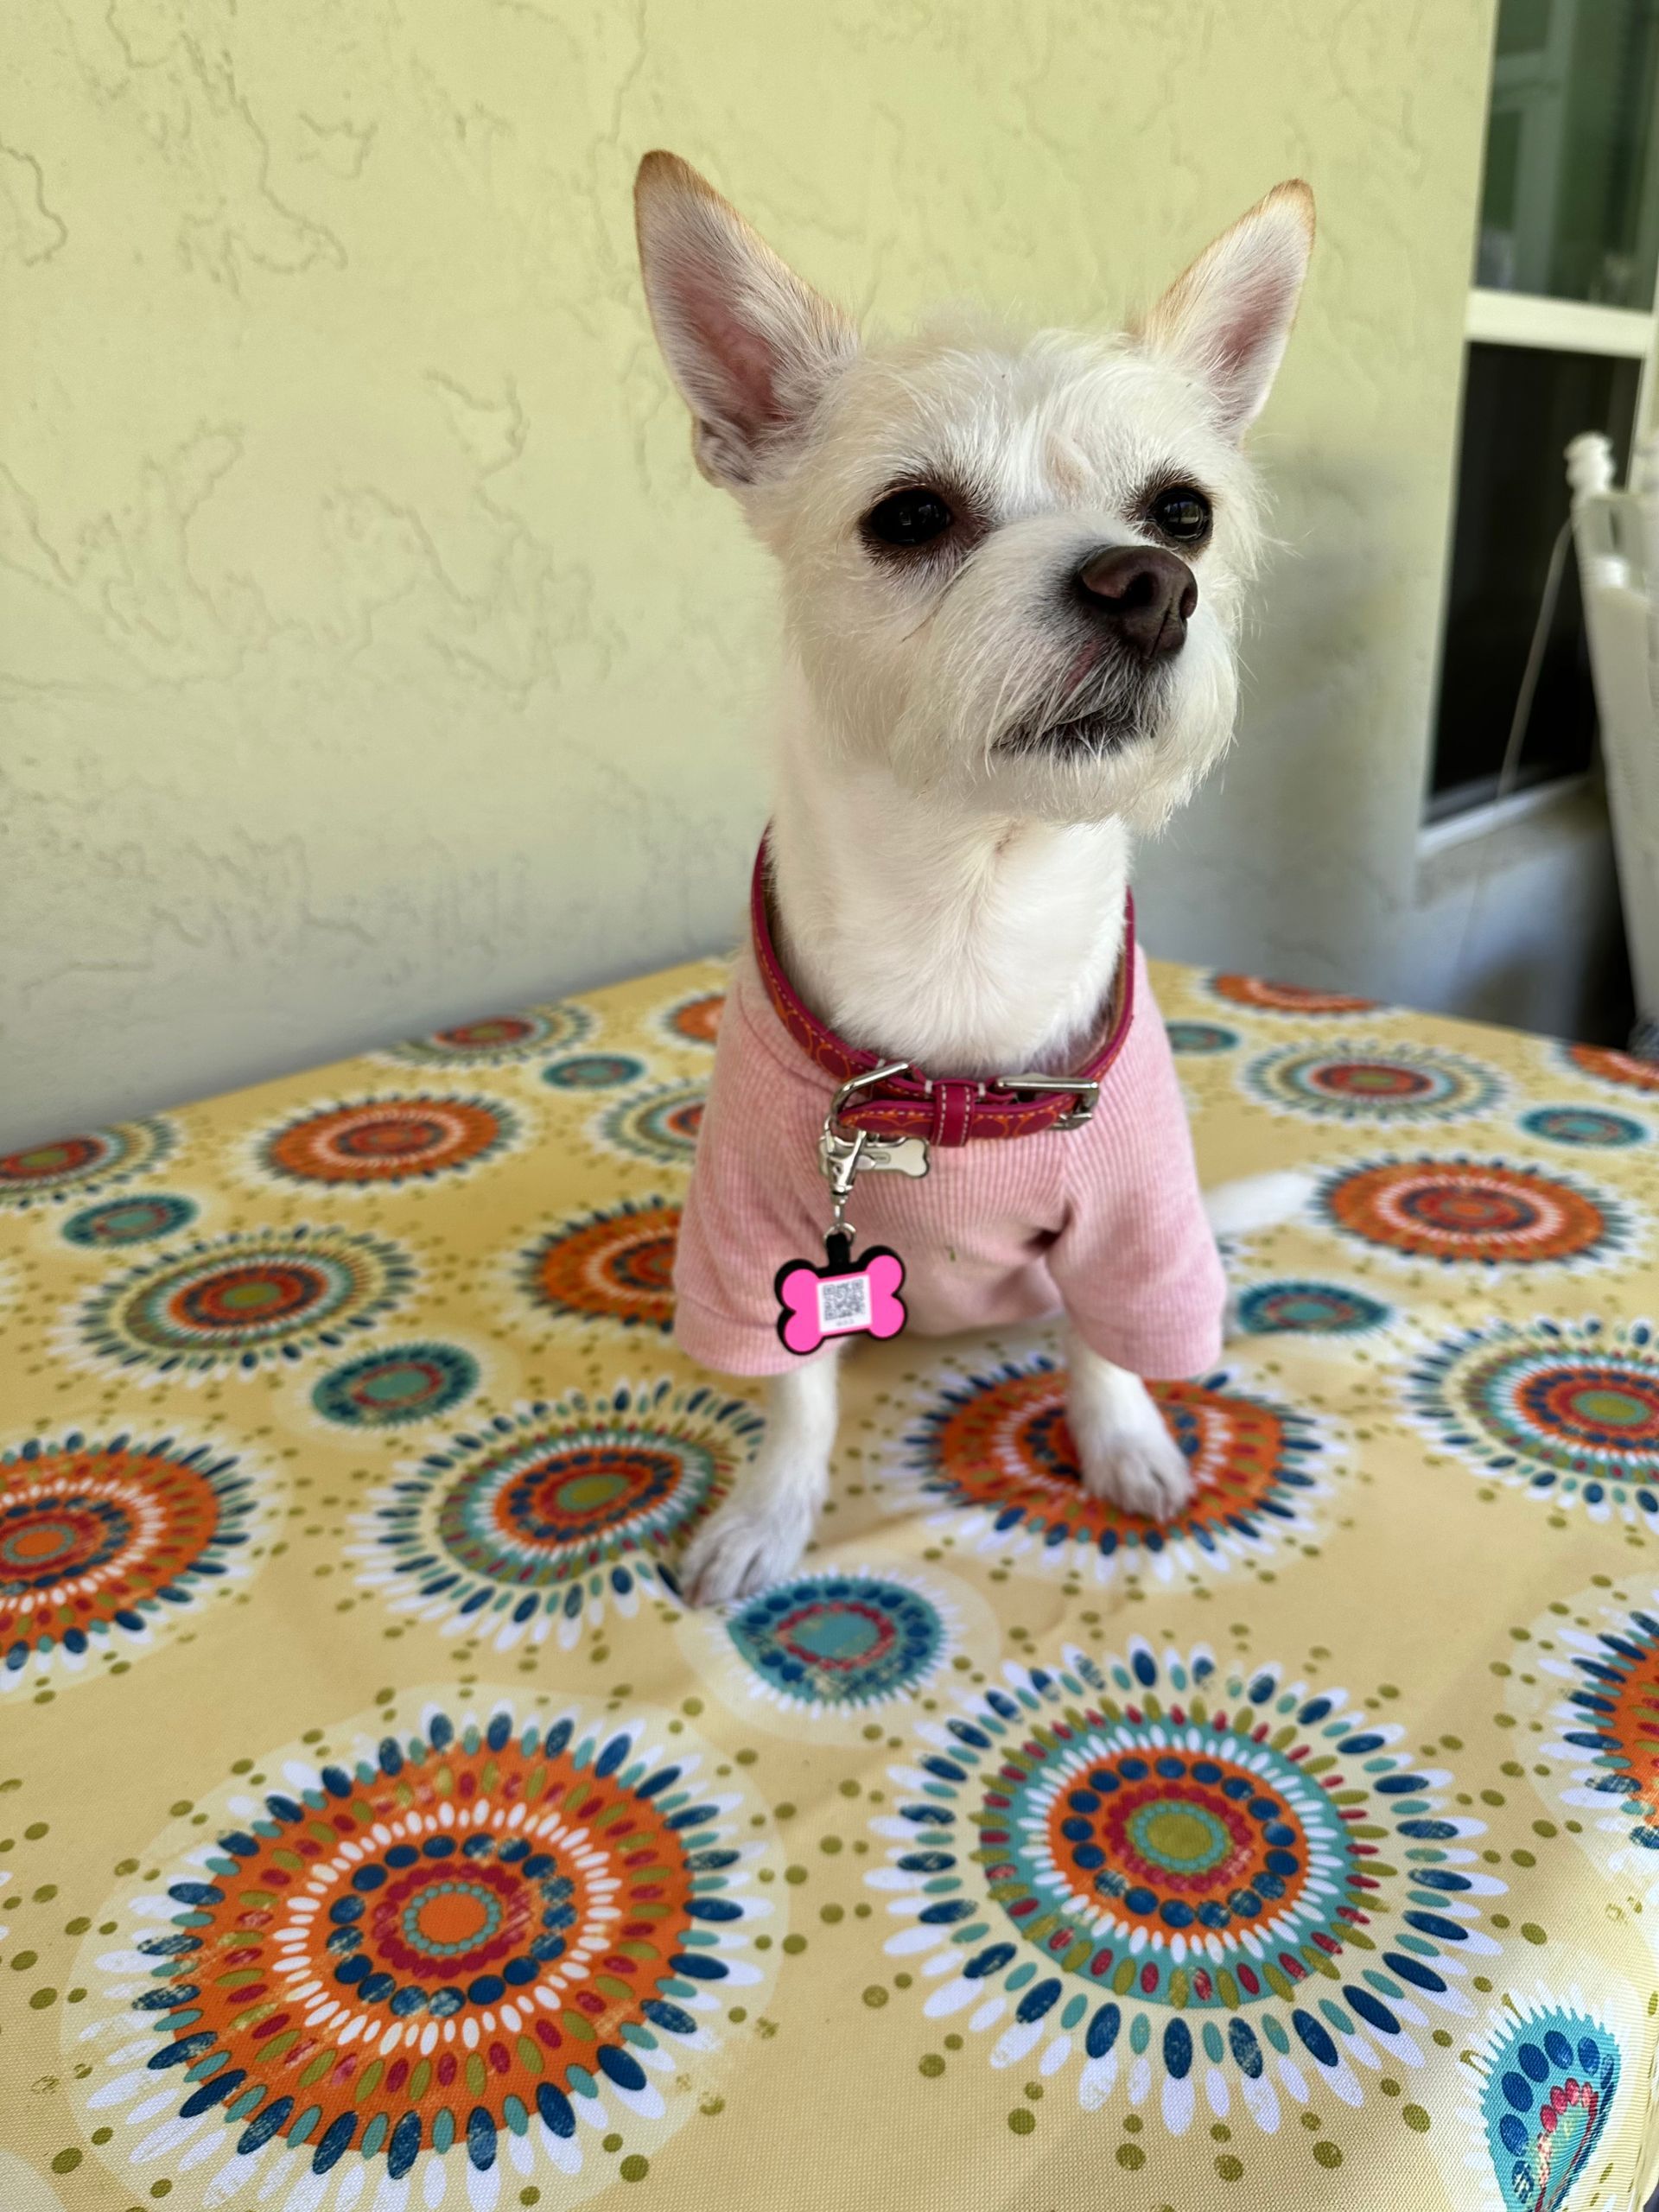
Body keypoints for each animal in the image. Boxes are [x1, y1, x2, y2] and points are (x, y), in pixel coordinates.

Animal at [633, 151, 1314, 1604]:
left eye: (1185, 512)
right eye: (911, 516)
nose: (1151, 583)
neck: (970, 906)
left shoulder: (1135, 1231)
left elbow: (1106, 1347)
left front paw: (1125, 1446)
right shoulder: (752, 1240)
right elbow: (798, 1397)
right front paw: (770, 1515)